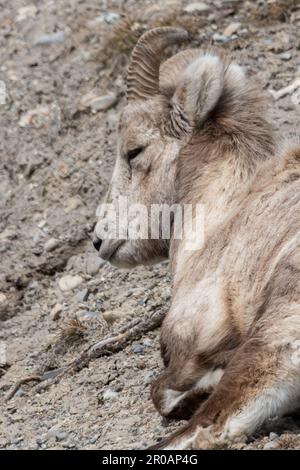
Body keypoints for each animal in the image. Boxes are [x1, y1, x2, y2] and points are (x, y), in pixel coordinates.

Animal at [92, 27, 300, 450]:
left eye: (134, 151)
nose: (99, 240)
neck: (224, 214)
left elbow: (162, 391)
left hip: (272, 338)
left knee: (211, 426)